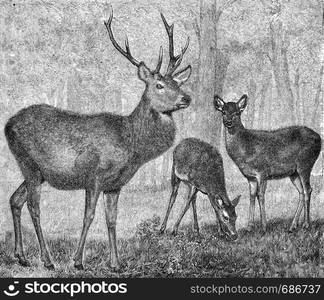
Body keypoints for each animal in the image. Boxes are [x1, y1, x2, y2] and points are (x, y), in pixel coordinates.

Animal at [3, 11, 192, 270]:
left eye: (178, 83)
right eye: (159, 85)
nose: (186, 98)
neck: (131, 145)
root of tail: (7, 125)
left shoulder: (115, 185)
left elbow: (112, 220)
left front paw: (116, 264)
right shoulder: (94, 176)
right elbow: (89, 216)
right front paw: (77, 260)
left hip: (38, 172)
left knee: (15, 199)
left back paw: (21, 256)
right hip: (28, 162)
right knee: (34, 207)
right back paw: (47, 260)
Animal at [213, 94, 322, 232]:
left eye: (237, 112)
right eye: (223, 112)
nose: (228, 122)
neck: (246, 149)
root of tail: (320, 138)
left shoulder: (262, 171)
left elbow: (261, 195)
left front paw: (264, 226)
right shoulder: (250, 177)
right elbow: (252, 196)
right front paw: (249, 226)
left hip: (305, 163)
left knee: (308, 190)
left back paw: (306, 224)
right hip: (294, 172)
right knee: (301, 192)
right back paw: (293, 225)